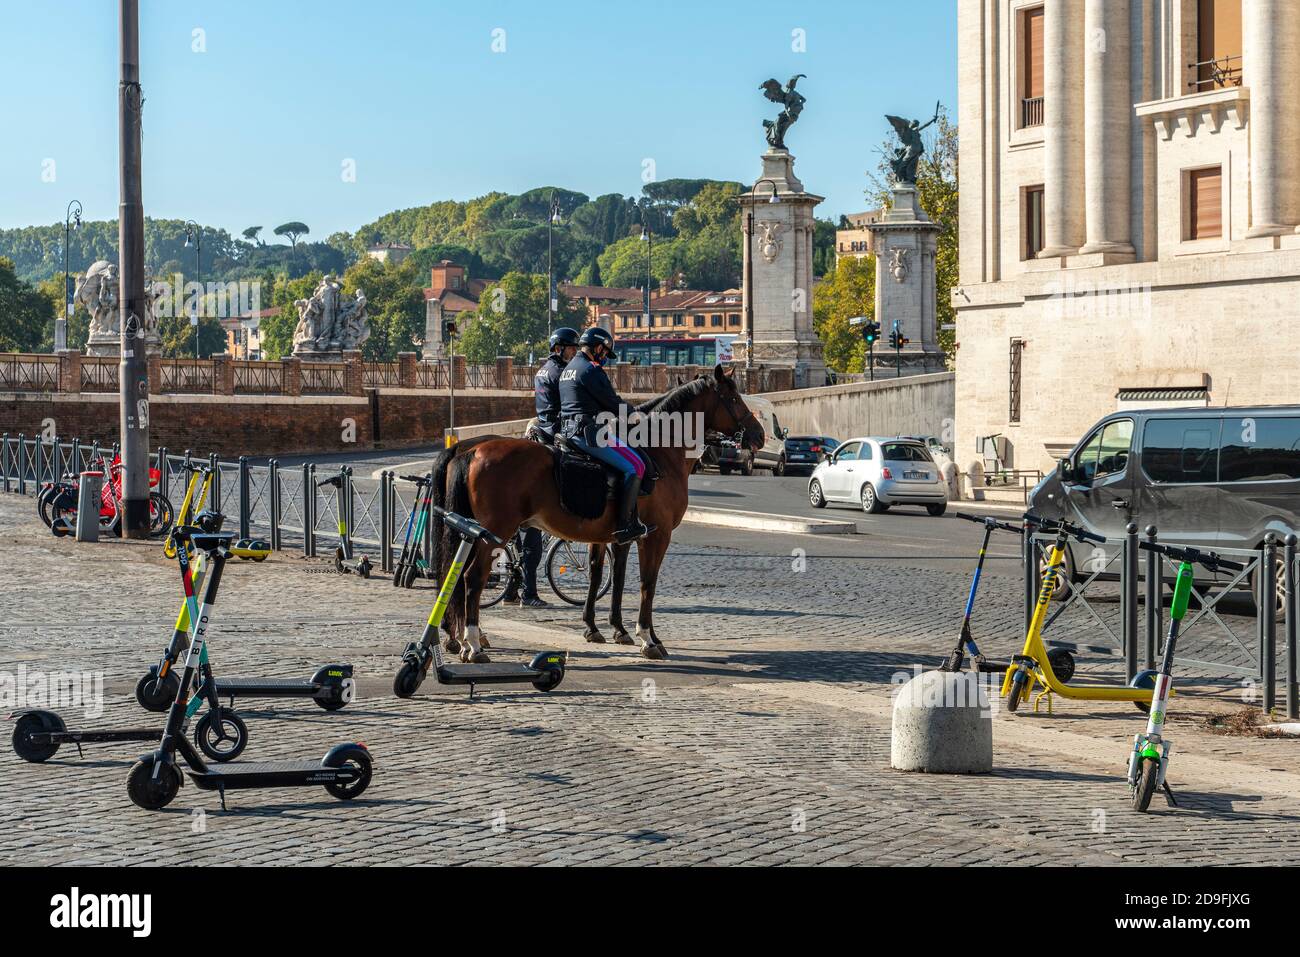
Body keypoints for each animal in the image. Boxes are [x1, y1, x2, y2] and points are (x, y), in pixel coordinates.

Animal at [431, 361, 764, 660]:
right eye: (735, 398)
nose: (760, 434)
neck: (659, 451)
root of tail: (471, 450)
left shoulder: (611, 537)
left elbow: (603, 575)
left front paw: (604, 629)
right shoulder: (655, 536)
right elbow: (646, 582)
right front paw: (647, 638)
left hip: (472, 532)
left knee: (457, 576)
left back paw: (460, 638)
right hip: (494, 533)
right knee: (473, 578)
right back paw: (473, 643)